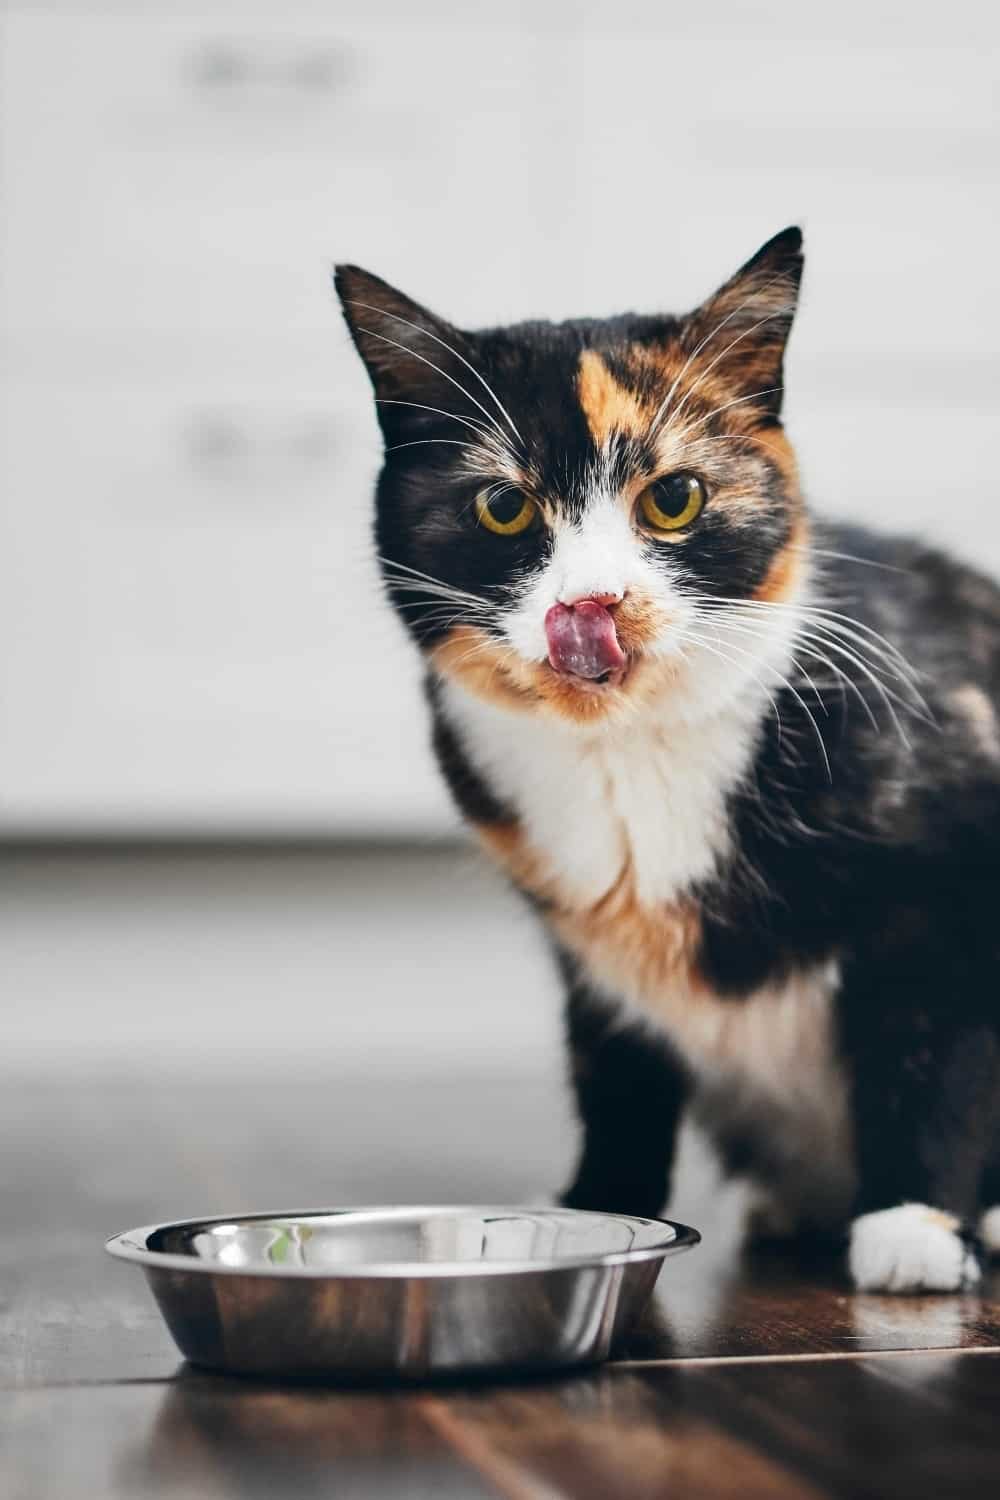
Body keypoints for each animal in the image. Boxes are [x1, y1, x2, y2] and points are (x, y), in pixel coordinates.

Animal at [334, 228, 1000, 1296]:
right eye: (504, 508)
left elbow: (933, 1042)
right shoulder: (592, 953)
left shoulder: (951, 869)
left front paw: (917, 1226)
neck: (630, 751)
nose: (591, 603)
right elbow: (616, 1074)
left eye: (675, 498)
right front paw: (595, 1210)